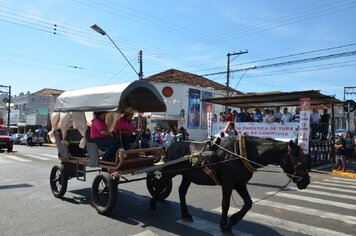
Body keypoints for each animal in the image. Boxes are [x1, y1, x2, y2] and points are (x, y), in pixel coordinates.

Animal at [149, 136, 310, 232]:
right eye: (300, 163)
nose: (306, 182)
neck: (242, 153)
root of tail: (171, 145)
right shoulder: (228, 183)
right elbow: (225, 204)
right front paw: (224, 224)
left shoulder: (240, 184)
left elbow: (248, 203)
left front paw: (233, 220)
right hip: (169, 172)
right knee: (160, 185)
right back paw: (152, 206)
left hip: (187, 175)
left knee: (182, 191)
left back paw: (186, 214)